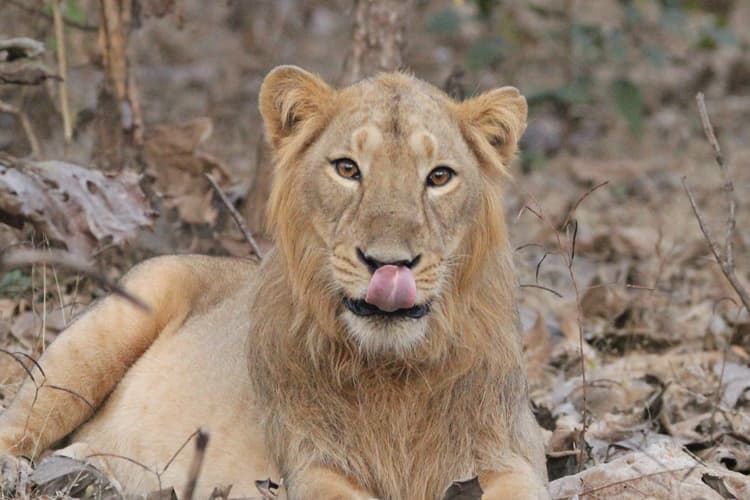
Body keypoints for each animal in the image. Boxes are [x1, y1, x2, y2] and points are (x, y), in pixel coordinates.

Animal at [0, 66, 548, 499]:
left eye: (439, 177)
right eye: (347, 168)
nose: (389, 263)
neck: (397, 372)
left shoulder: (511, 454)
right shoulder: (312, 463)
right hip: (110, 325)